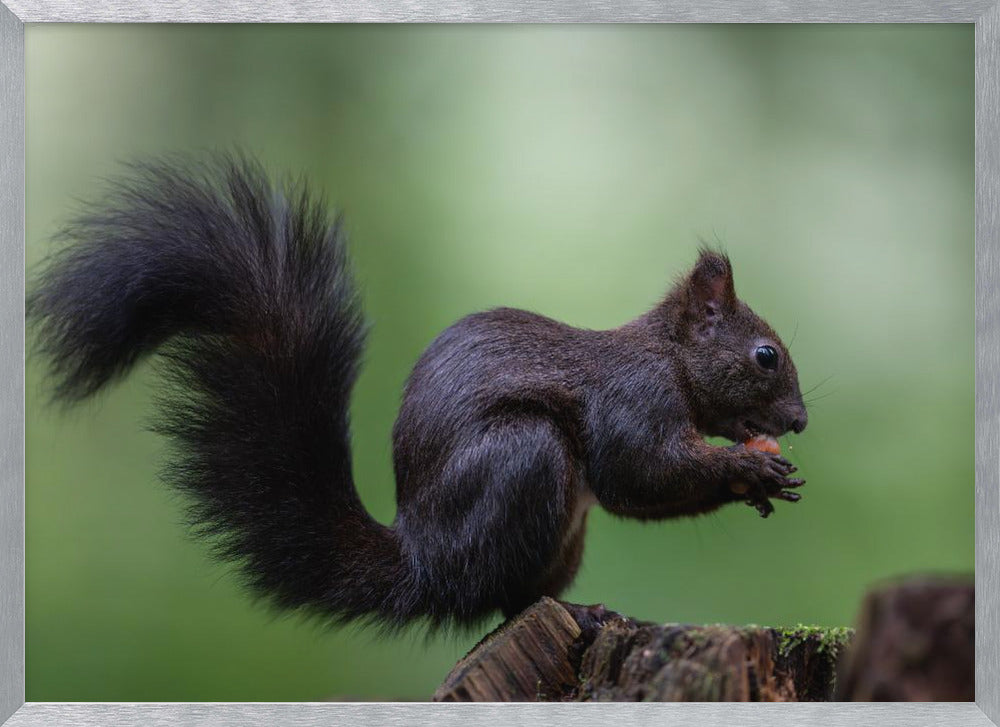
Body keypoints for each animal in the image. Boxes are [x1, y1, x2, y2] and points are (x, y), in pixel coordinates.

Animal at [31, 152, 808, 632]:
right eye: (765, 355)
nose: (799, 421)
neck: (668, 358)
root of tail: (424, 560)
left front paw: (760, 479)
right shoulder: (633, 399)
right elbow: (638, 472)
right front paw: (750, 466)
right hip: (525, 460)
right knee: (503, 597)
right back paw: (579, 614)